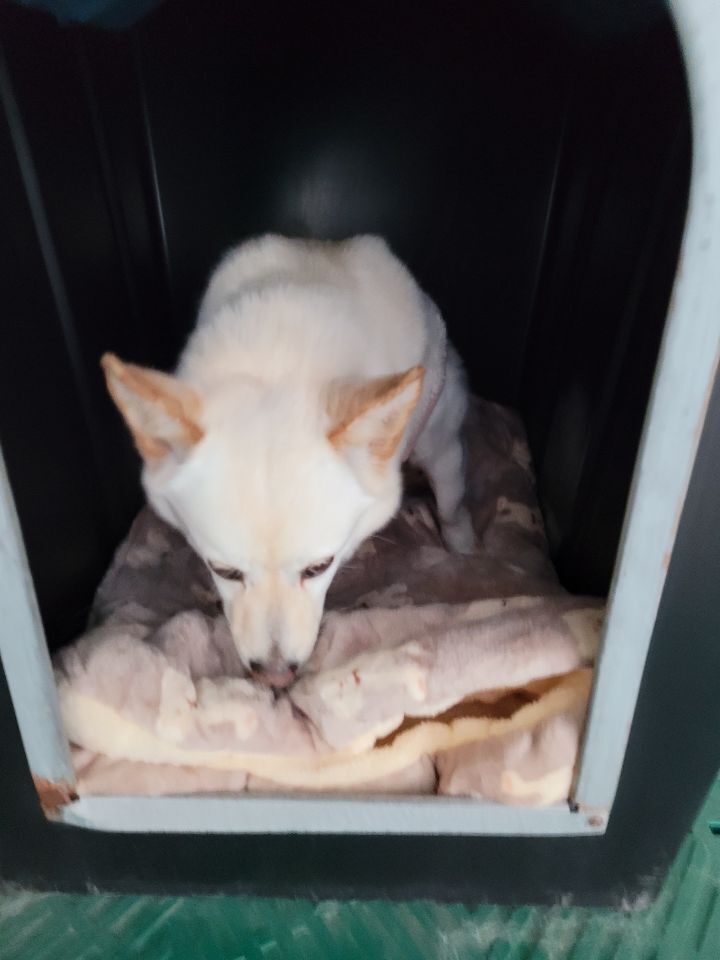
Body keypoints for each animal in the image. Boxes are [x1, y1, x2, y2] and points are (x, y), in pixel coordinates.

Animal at [102, 234, 474, 687]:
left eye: (318, 567)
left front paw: (464, 554)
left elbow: (451, 509)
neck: (277, 361)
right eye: (223, 570)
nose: (276, 676)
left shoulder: (439, 450)